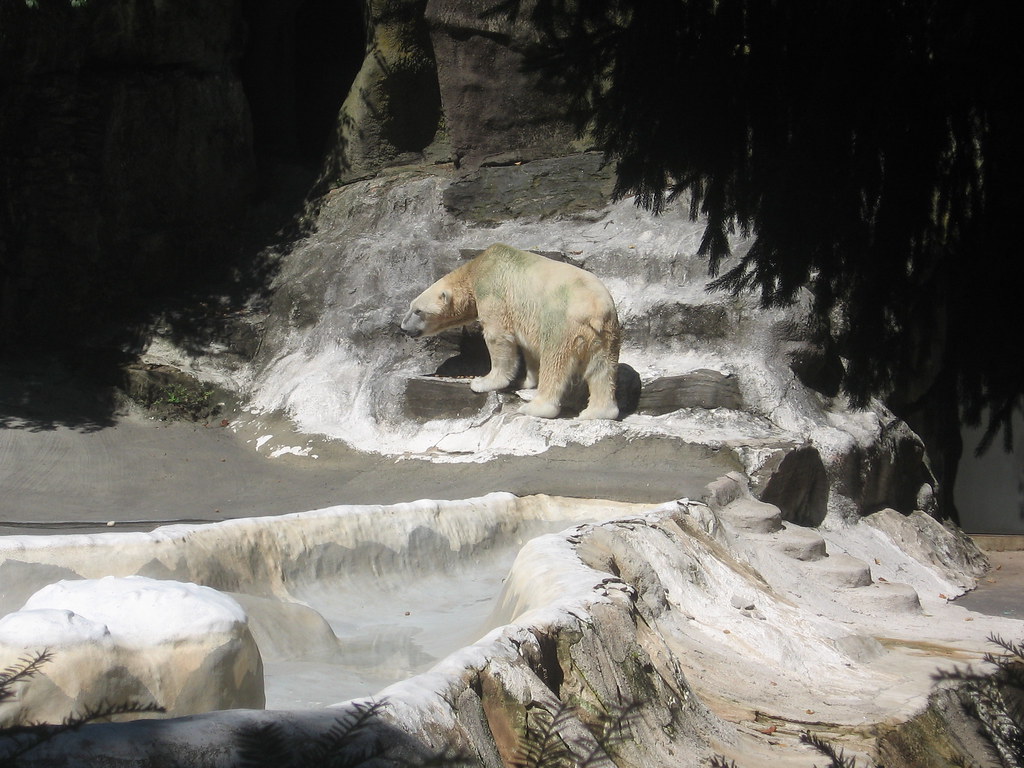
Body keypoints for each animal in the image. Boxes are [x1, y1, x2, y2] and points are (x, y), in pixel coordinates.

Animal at [400, 244, 621, 420]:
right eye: (410, 307)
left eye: (418, 310)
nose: (403, 327)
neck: (474, 269)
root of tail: (595, 309)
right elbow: (529, 347)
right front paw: (525, 380)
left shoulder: (492, 290)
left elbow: (498, 336)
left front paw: (483, 382)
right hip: (606, 333)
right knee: (601, 368)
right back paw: (597, 412)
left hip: (563, 324)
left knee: (555, 362)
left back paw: (535, 408)